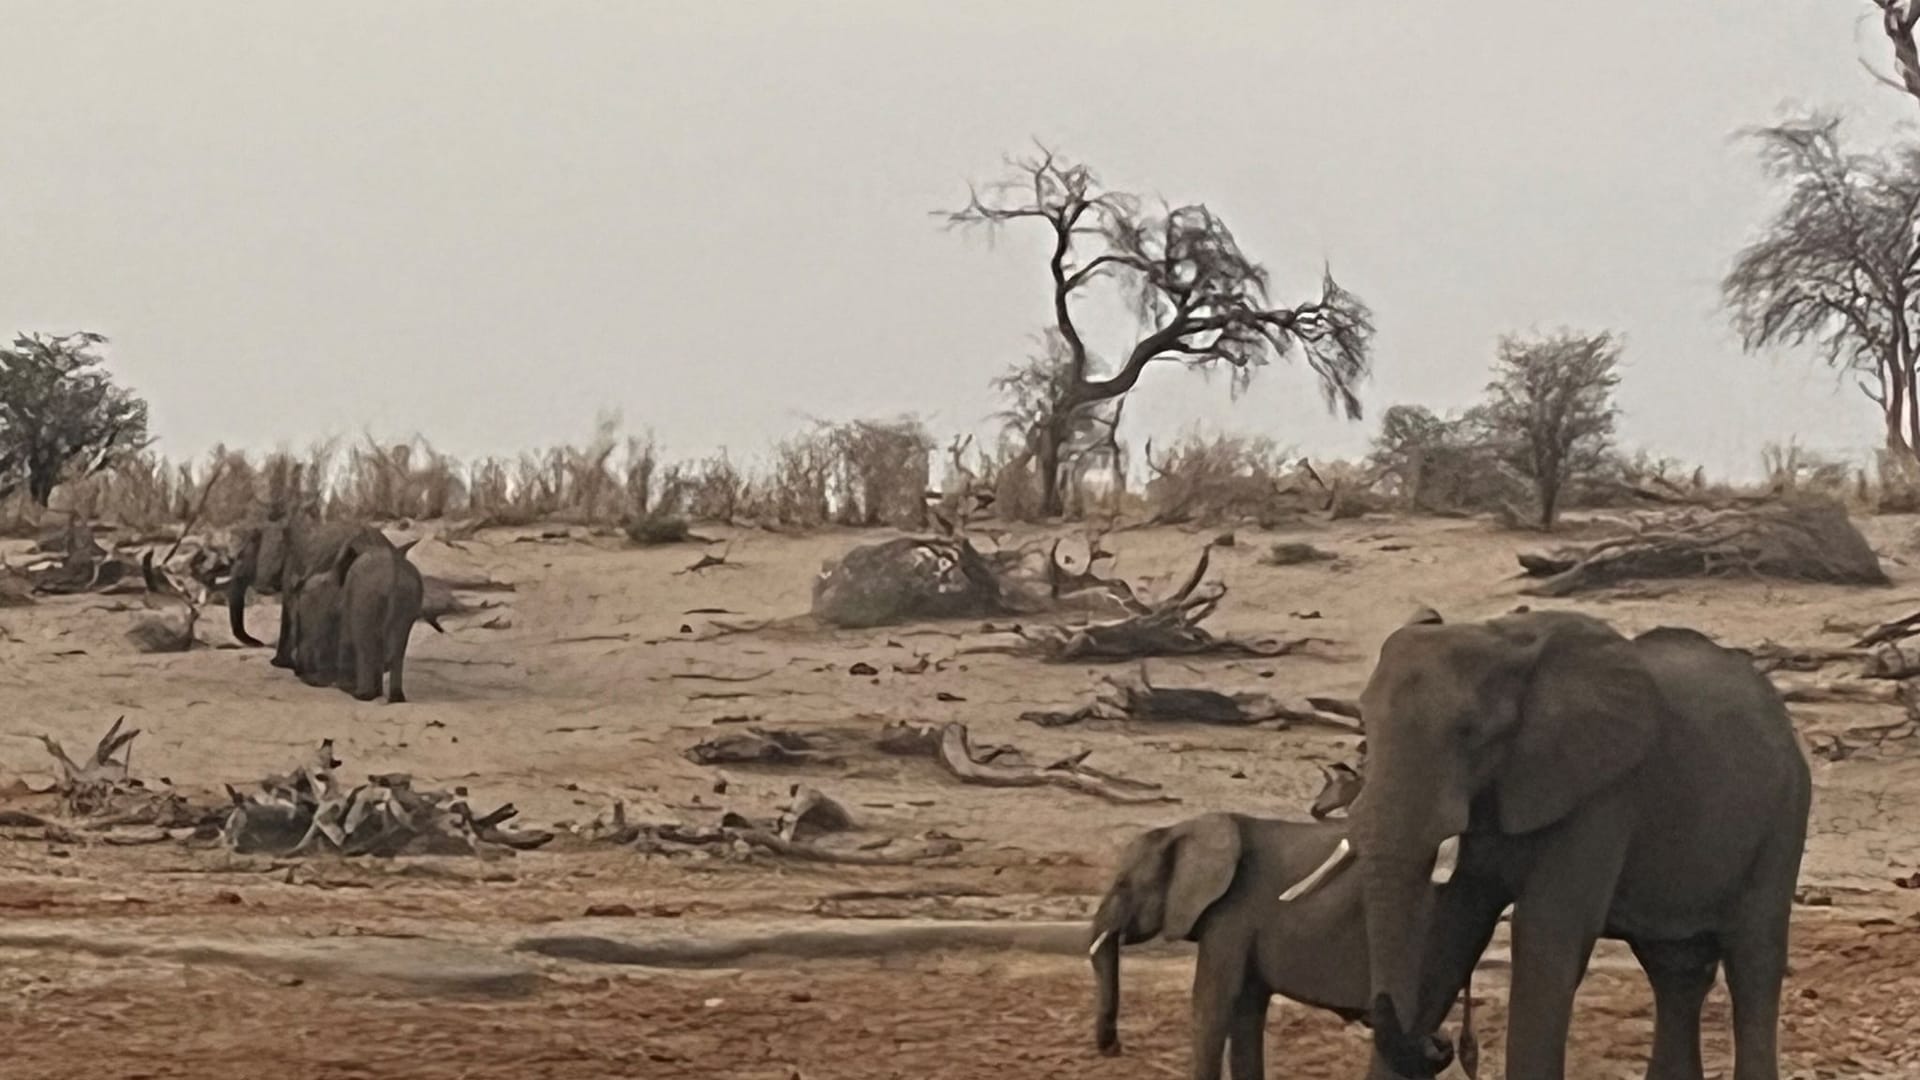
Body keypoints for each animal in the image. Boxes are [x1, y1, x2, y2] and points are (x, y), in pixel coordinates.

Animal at [1090, 810, 1459, 1068]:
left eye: (1122, 884)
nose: (1114, 1048)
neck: (1183, 827)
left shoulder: (1232, 917)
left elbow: (1212, 1005)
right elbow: (1246, 1012)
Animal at [1297, 611, 1804, 1076]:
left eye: (1468, 732)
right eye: (1365, 726)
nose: (1438, 1045)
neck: (1501, 640)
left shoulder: (1604, 792)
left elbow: (1546, 932)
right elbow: (1458, 917)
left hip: (1782, 819)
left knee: (1753, 963)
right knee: (1676, 971)